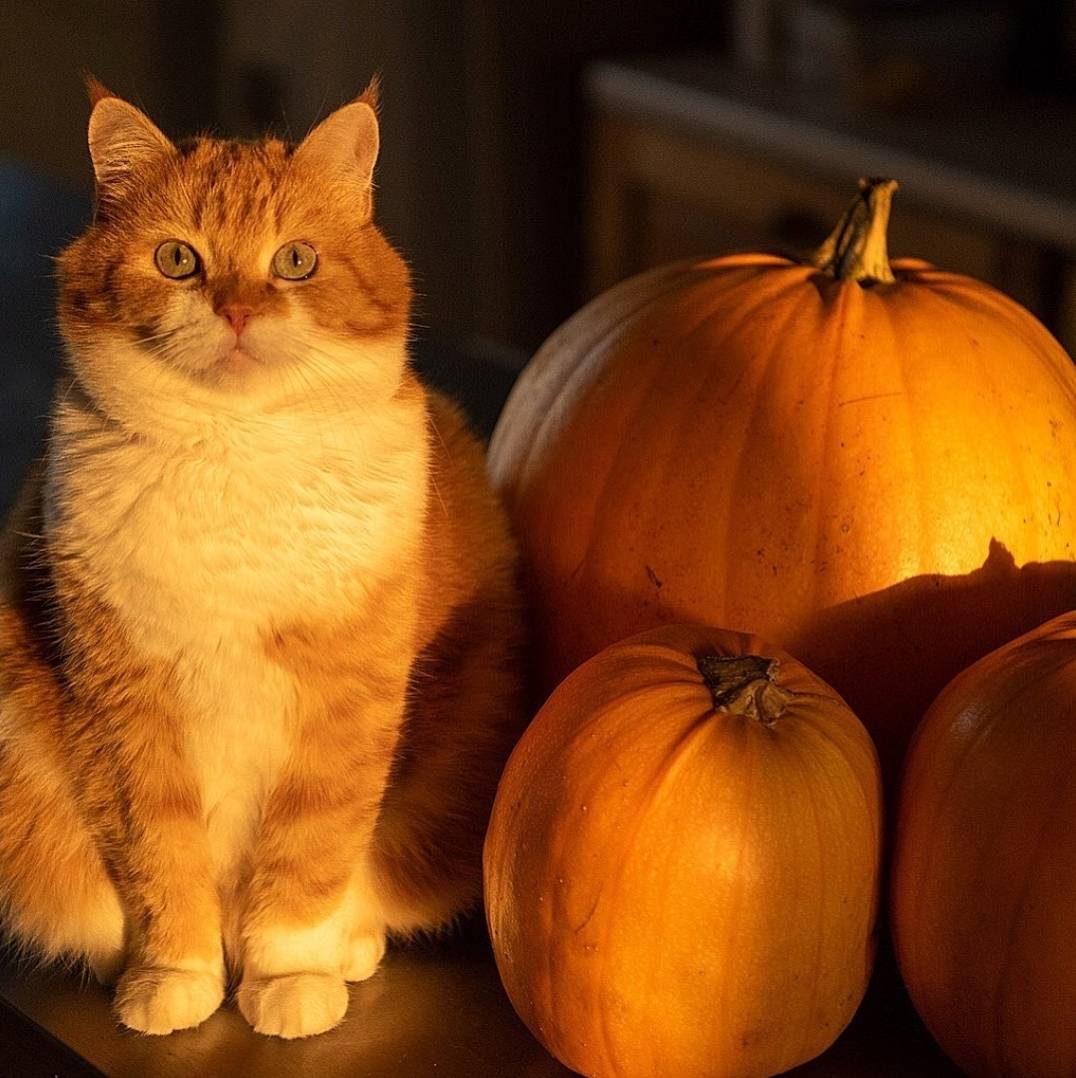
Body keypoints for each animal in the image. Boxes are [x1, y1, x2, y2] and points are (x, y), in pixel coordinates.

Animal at [0, 79, 526, 1039]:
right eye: (177, 259)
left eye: (295, 262)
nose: (239, 309)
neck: (232, 454)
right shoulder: (126, 713)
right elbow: (160, 860)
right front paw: (174, 975)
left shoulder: (345, 710)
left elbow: (308, 856)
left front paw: (288, 975)